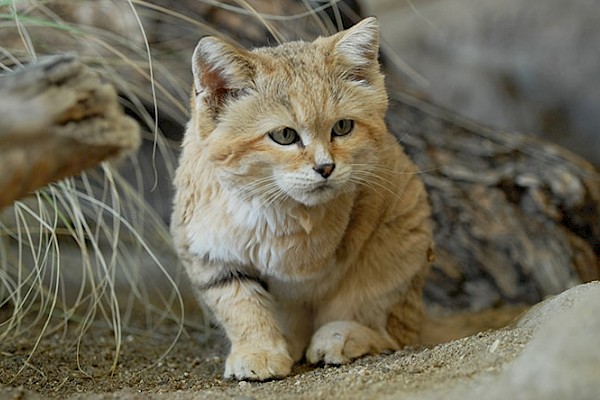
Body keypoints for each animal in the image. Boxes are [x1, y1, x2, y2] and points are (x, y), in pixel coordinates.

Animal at [171, 18, 434, 382]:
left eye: (342, 127)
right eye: (284, 135)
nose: (326, 168)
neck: (269, 204)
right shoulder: (204, 249)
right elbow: (240, 305)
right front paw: (259, 351)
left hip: (397, 251)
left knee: (392, 333)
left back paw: (340, 337)